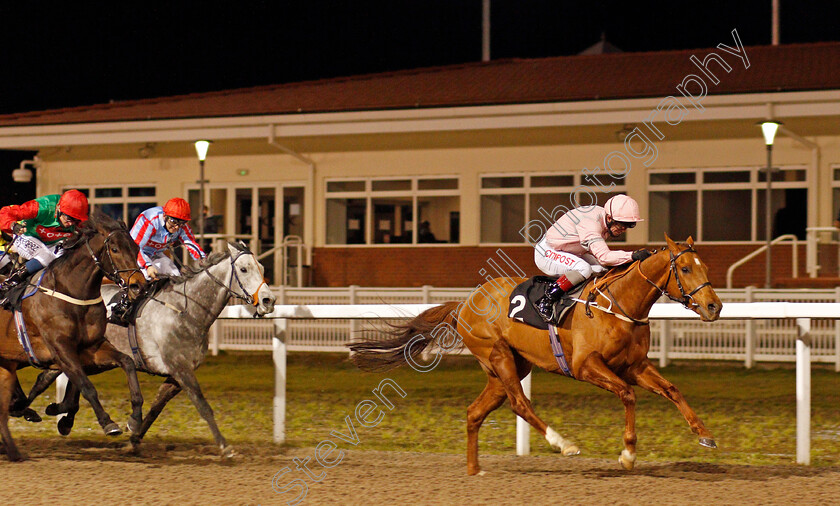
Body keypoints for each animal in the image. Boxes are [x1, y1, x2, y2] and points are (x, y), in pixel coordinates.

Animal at [0, 211, 145, 460]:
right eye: (115, 249)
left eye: (136, 249)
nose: (138, 286)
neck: (71, 291)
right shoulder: (61, 348)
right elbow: (86, 385)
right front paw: (108, 423)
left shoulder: (91, 347)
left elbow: (126, 362)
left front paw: (135, 418)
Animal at [18, 239, 276, 456]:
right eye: (243, 269)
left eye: (262, 268)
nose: (268, 300)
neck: (187, 310)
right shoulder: (181, 369)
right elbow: (203, 406)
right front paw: (225, 446)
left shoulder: (174, 377)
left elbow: (155, 410)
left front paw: (132, 441)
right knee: (50, 379)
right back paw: (30, 410)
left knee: (60, 380)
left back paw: (57, 414)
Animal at [352, 236, 724, 474]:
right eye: (685, 269)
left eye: (705, 266)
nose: (714, 306)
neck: (617, 303)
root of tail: (463, 303)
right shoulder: (586, 366)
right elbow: (627, 394)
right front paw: (628, 454)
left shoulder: (634, 365)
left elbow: (671, 389)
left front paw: (704, 433)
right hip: (499, 355)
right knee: (520, 404)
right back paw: (563, 443)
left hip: (508, 368)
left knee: (475, 412)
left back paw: (474, 470)